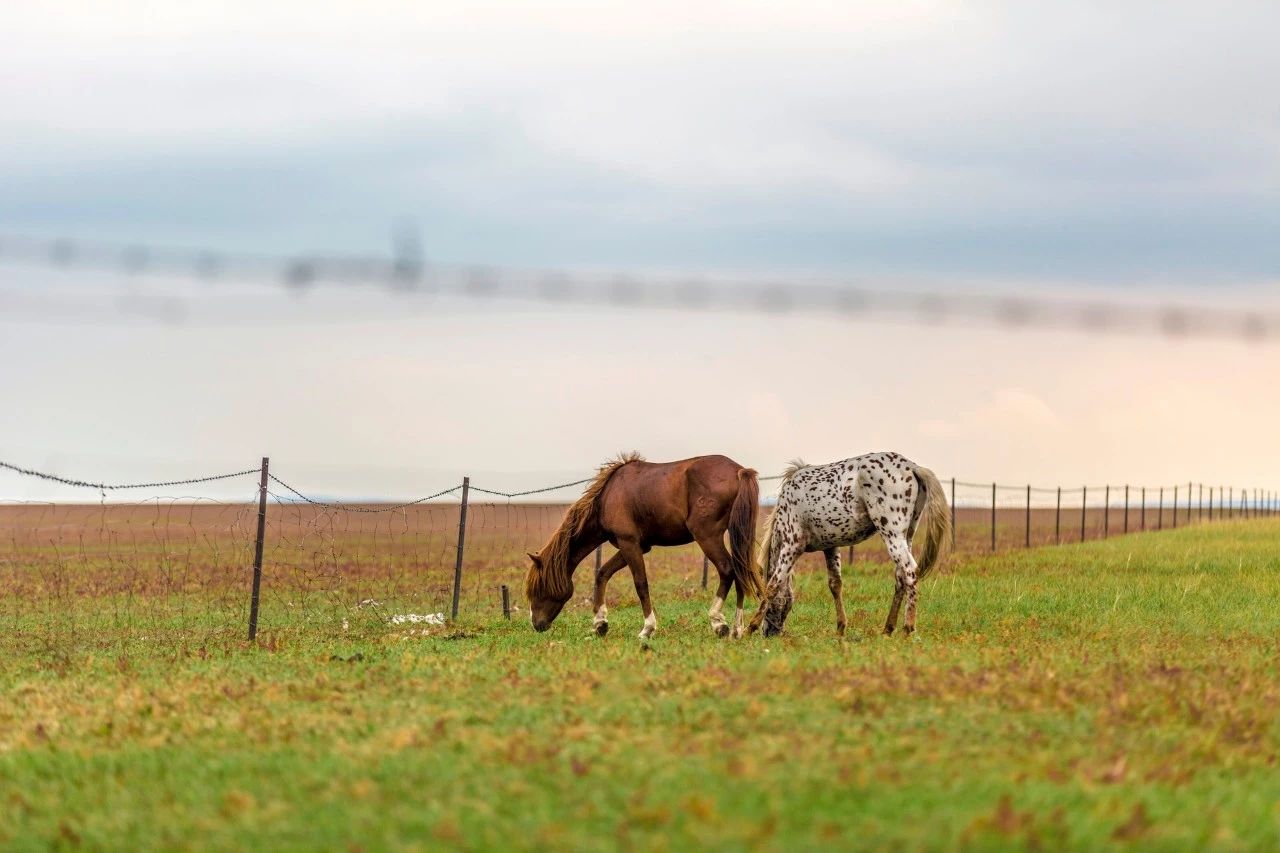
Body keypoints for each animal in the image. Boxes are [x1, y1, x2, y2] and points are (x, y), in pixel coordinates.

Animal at [524, 455, 762, 635]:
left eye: (538, 588)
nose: (536, 624)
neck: (607, 496)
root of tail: (740, 471)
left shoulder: (629, 543)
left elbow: (641, 584)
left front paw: (648, 628)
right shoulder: (634, 545)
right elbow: (602, 574)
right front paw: (600, 623)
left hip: (707, 536)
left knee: (727, 570)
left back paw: (718, 622)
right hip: (736, 535)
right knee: (740, 571)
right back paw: (738, 629)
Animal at [742, 450, 952, 637]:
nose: (769, 633)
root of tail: (913, 467)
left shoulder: (792, 545)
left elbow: (773, 585)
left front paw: (749, 628)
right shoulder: (830, 547)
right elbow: (835, 584)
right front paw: (841, 628)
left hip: (891, 534)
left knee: (910, 572)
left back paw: (908, 628)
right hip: (906, 535)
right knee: (901, 578)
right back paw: (887, 629)